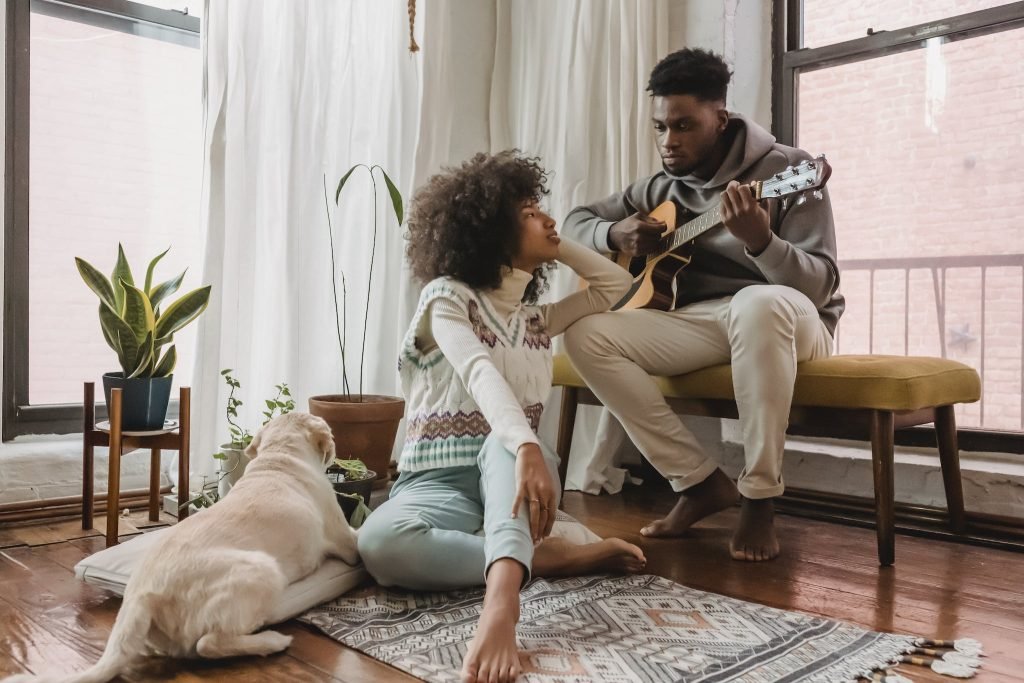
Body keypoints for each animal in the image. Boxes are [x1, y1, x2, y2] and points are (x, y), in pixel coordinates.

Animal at [3, 411, 360, 683]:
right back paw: (271, 641)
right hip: (262, 570)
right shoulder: (346, 539)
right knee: (210, 643)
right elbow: (355, 538)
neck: (280, 458)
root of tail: (142, 595)